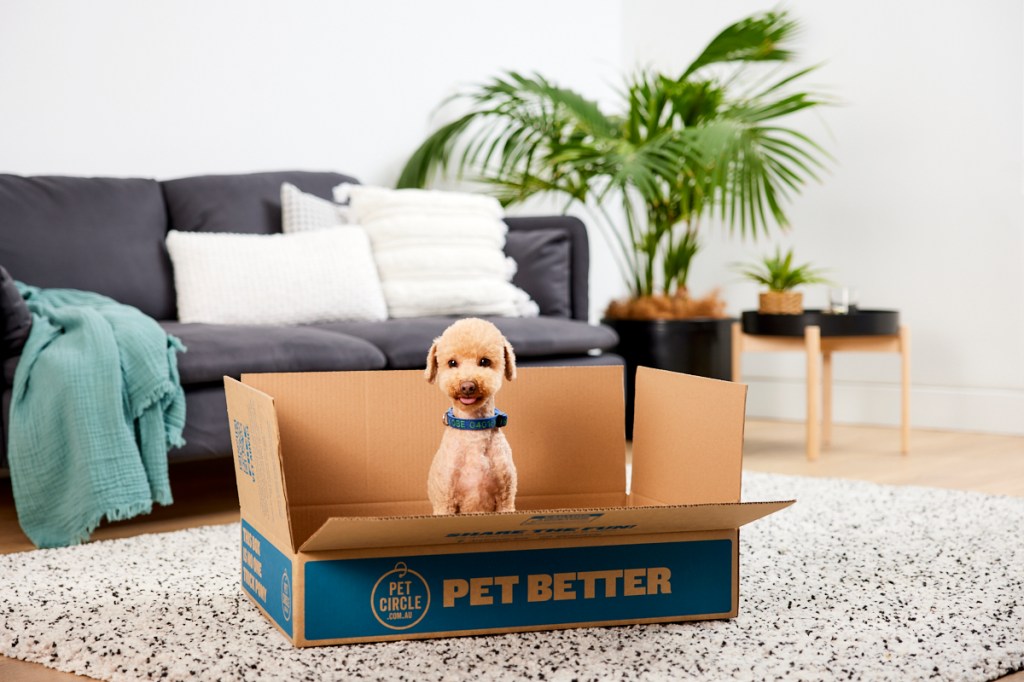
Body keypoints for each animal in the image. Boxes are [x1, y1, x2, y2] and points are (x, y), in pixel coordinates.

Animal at [425, 315, 520, 512]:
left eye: (484, 361)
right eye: (452, 363)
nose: (467, 386)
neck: (473, 429)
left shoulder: (506, 500)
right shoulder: (445, 502)